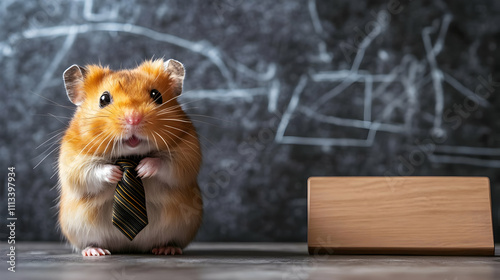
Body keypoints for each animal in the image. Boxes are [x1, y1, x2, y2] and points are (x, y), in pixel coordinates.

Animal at [59, 58, 204, 256]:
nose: (133, 119)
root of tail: (130, 247)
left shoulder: (187, 153)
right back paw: (96, 251)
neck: (130, 155)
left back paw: (166, 249)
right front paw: (116, 173)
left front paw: (142, 169)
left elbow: (167, 164)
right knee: (89, 243)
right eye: (103, 99)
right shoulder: (72, 160)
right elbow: (90, 171)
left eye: (156, 95)